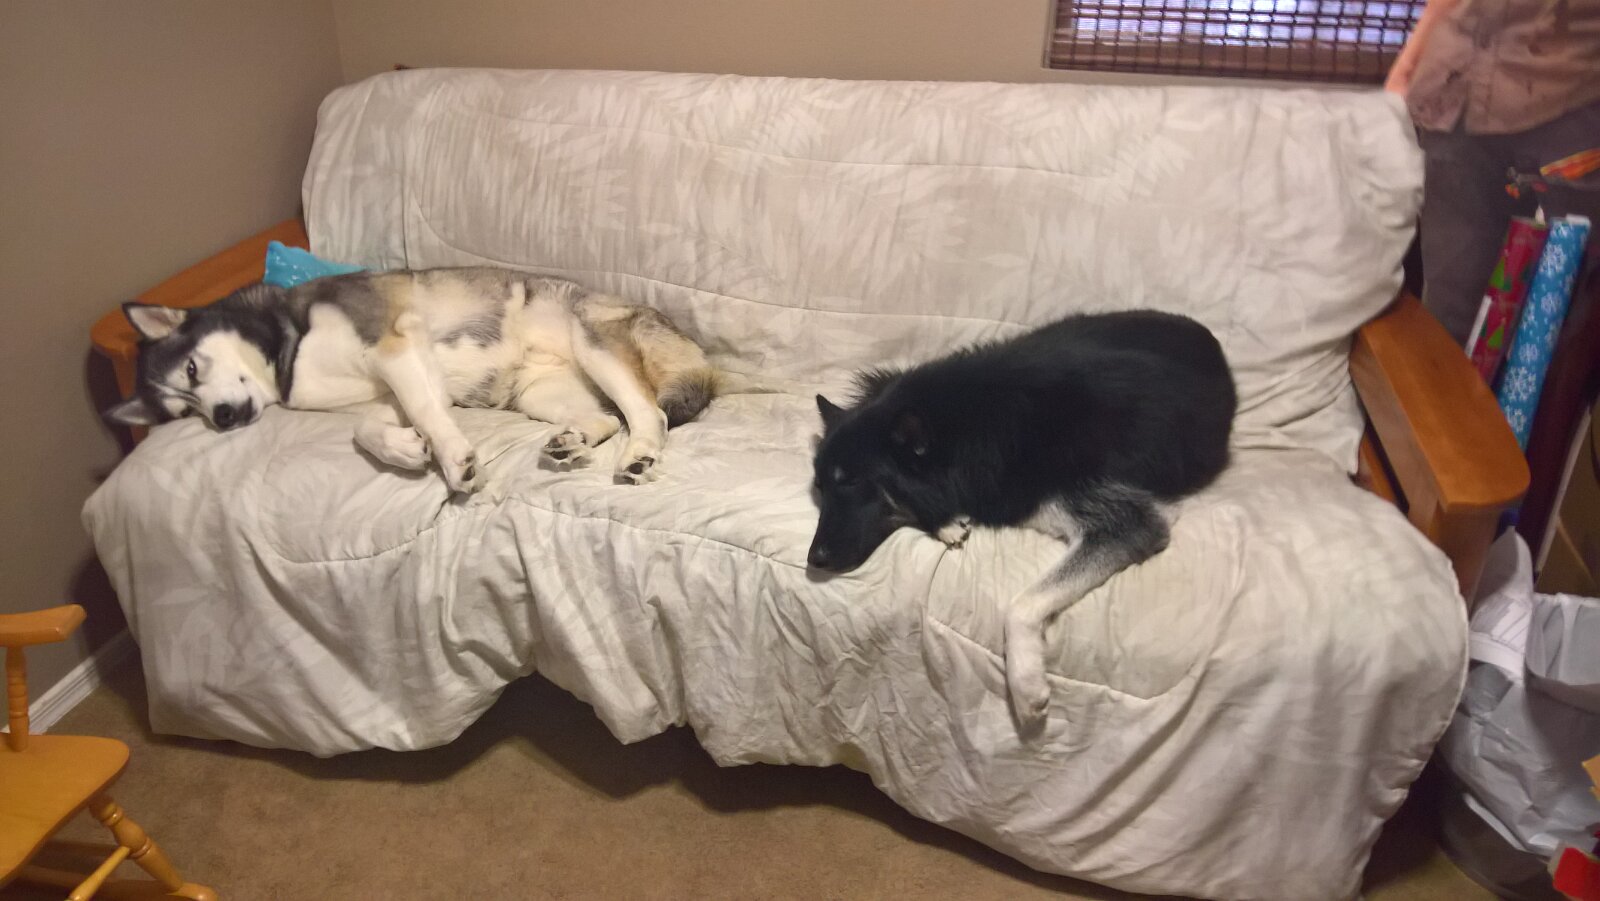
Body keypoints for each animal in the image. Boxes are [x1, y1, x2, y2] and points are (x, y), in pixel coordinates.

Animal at [104, 268, 717, 490]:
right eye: (184, 411)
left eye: (191, 369)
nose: (224, 417)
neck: (287, 352)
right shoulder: (387, 387)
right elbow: (369, 430)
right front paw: (404, 450)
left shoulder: (395, 345)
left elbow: (427, 412)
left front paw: (454, 463)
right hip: (538, 393)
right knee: (603, 416)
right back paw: (572, 443)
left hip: (593, 343)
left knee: (647, 412)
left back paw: (639, 456)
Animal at [807, 310, 1236, 727]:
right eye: (822, 488)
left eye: (852, 483)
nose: (813, 561)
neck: (967, 426)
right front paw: (946, 523)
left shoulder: (1125, 523)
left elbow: (1021, 606)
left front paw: (1026, 686)